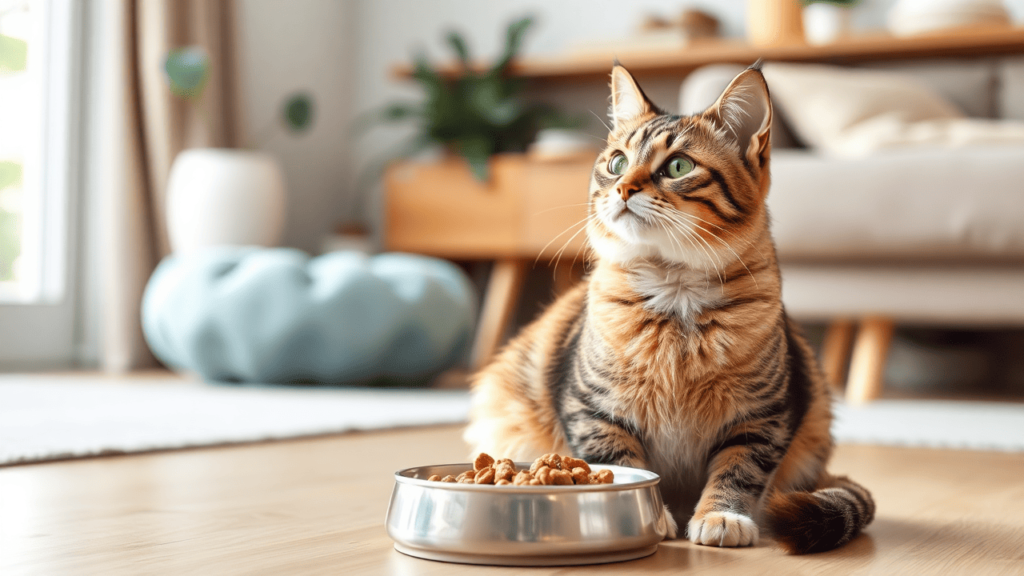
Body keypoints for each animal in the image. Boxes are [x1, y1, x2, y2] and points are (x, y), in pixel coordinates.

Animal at [464, 61, 872, 553]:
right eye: (617, 162)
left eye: (678, 166)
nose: (623, 188)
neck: (675, 294)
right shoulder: (594, 412)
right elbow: (623, 465)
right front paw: (651, 514)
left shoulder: (762, 417)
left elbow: (738, 472)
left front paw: (720, 516)